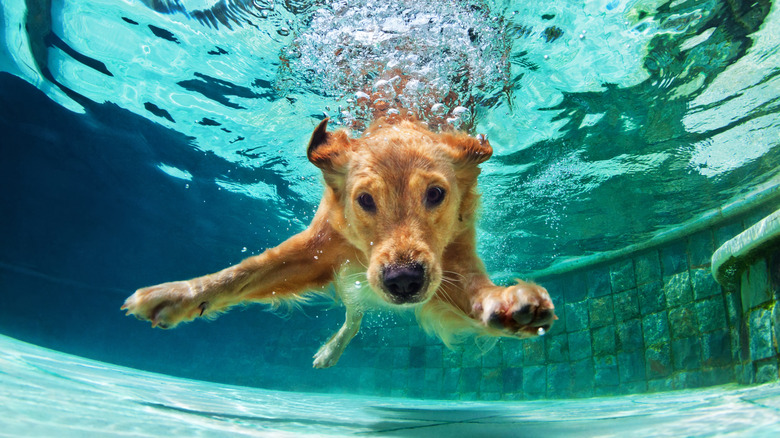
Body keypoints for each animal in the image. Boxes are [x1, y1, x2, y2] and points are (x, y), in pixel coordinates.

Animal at [122, 116, 556, 366]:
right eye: (364, 199)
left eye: (435, 194)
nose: (403, 281)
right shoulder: (317, 249)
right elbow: (243, 272)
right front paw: (177, 295)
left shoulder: (452, 261)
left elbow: (477, 291)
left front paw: (509, 304)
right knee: (354, 314)